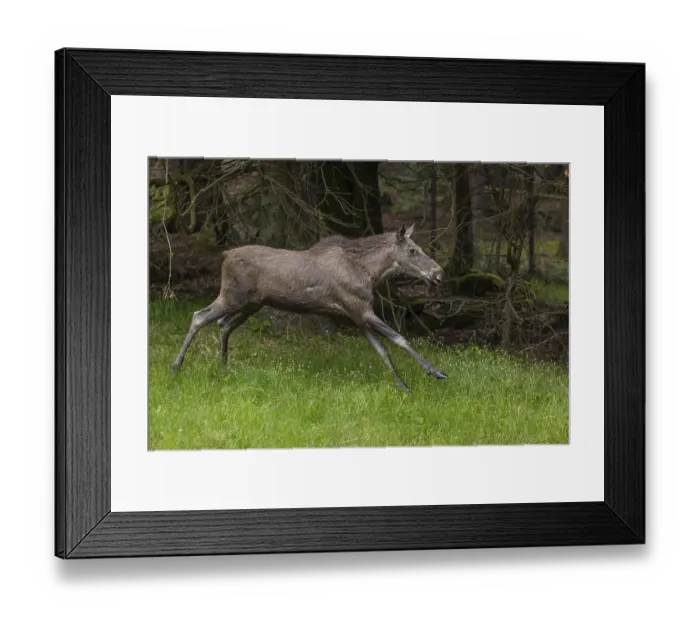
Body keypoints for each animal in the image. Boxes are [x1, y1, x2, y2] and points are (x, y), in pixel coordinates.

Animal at [170, 223, 448, 393]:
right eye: (412, 250)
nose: (439, 274)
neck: (370, 273)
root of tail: (225, 255)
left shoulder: (358, 315)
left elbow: (382, 350)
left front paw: (403, 386)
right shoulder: (361, 309)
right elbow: (400, 339)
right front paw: (435, 371)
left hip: (250, 305)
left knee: (223, 325)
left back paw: (224, 366)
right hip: (232, 296)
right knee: (199, 317)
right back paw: (176, 365)